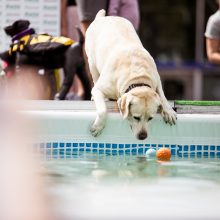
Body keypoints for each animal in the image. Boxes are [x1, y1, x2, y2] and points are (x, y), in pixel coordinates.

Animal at [85, 9, 176, 140]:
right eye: (136, 117)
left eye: (150, 118)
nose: (143, 136)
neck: (137, 78)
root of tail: (102, 17)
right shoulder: (99, 89)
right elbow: (102, 109)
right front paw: (98, 127)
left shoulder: (157, 79)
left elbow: (162, 96)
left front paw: (168, 111)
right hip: (91, 63)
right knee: (95, 77)